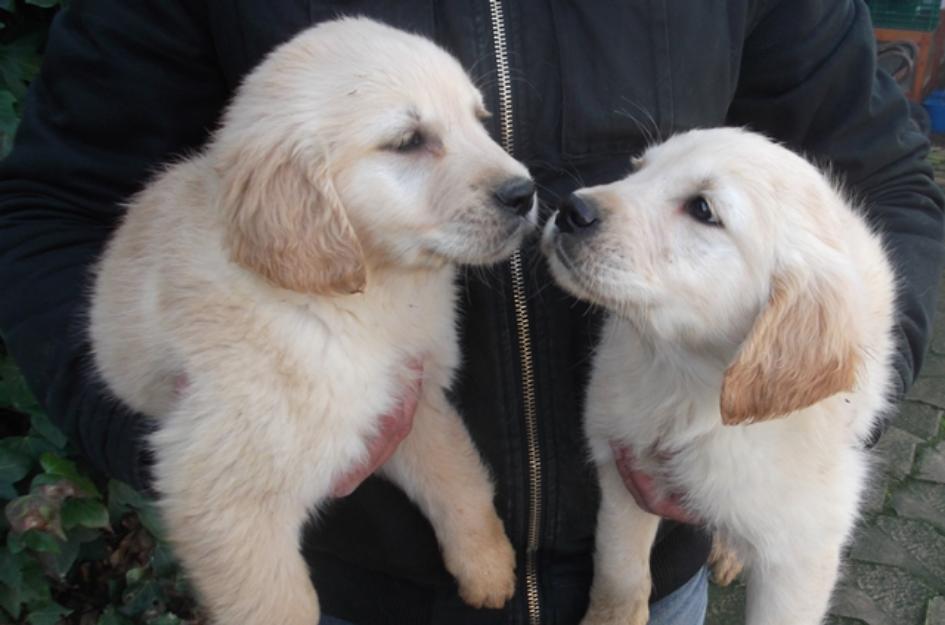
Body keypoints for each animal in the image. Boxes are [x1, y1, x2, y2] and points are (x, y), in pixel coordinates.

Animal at [89, 18, 536, 624]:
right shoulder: (222, 495)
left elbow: (456, 477)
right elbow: (275, 603)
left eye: (479, 119)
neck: (360, 297)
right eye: (407, 141)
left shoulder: (408, 400)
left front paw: (487, 566)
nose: (526, 193)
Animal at [544, 127, 896, 624]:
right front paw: (612, 615)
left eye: (703, 209)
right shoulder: (622, 460)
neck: (687, 378)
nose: (570, 209)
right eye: (637, 169)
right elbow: (619, 566)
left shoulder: (803, 550)